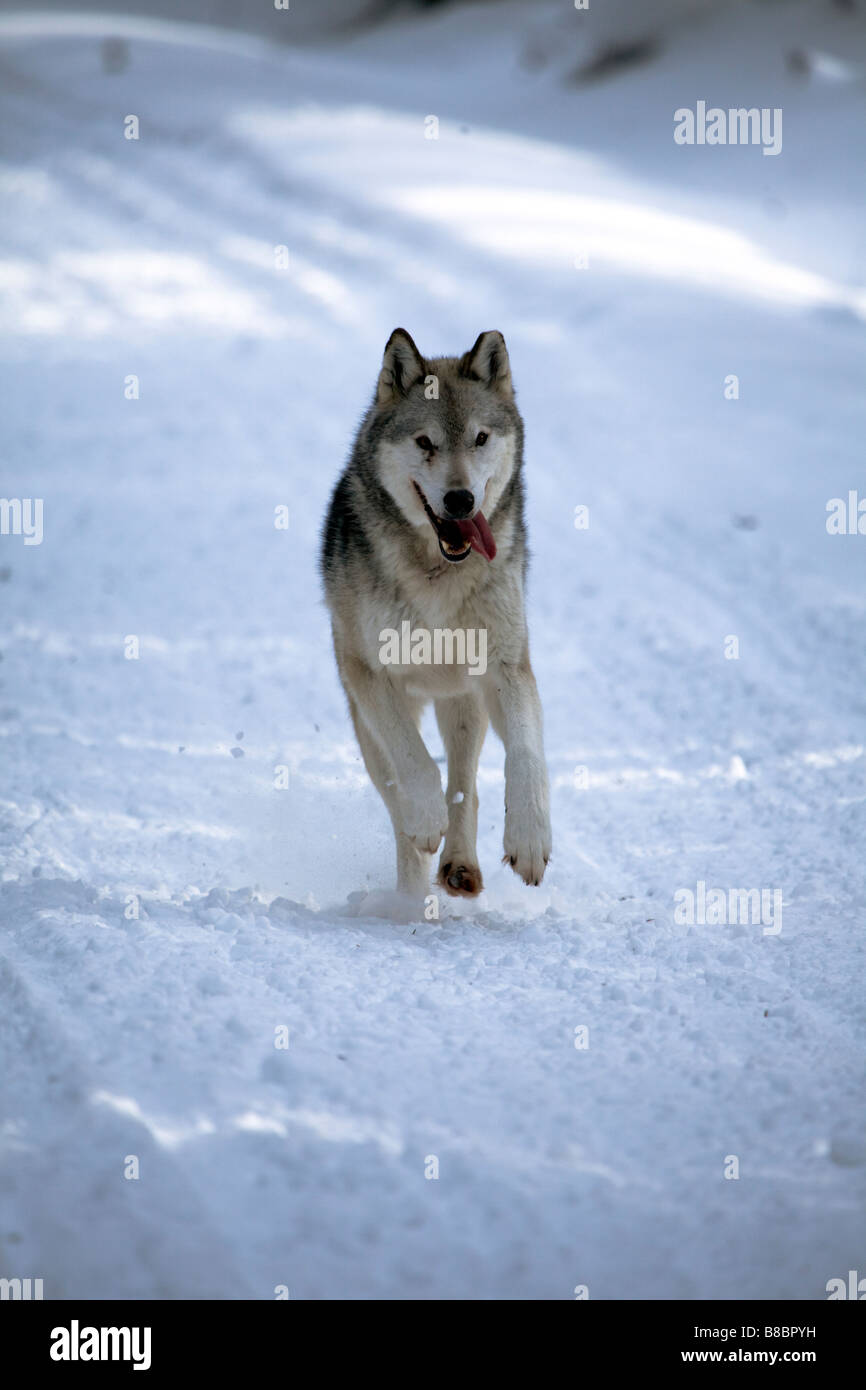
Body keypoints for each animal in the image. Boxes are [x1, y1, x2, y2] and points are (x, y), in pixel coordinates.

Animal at [322, 325, 553, 911]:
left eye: (480, 438)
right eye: (425, 442)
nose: (460, 499)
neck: (439, 573)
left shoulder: (506, 666)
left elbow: (525, 754)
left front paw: (530, 841)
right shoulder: (371, 674)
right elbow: (415, 762)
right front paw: (424, 820)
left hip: (464, 704)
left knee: (464, 785)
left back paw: (460, 867)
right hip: (368, 729)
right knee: (399, 804)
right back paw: (409, 894)